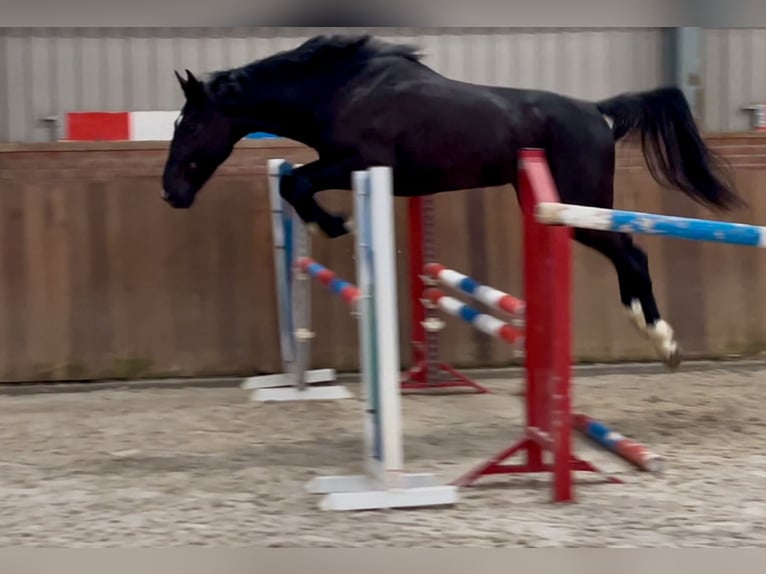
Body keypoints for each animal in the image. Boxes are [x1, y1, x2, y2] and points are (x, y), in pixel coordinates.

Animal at [162, 33, 744, 372]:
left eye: (188, 124)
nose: (170, 192)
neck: (341, 89)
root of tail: (596, 111)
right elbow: (293, 184)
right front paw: (335, 224)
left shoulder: (354, 163)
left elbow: (297, 184)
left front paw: (337, 224)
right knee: (627, 255)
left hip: (580, 209)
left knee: (633, 255)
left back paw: (664, 342)